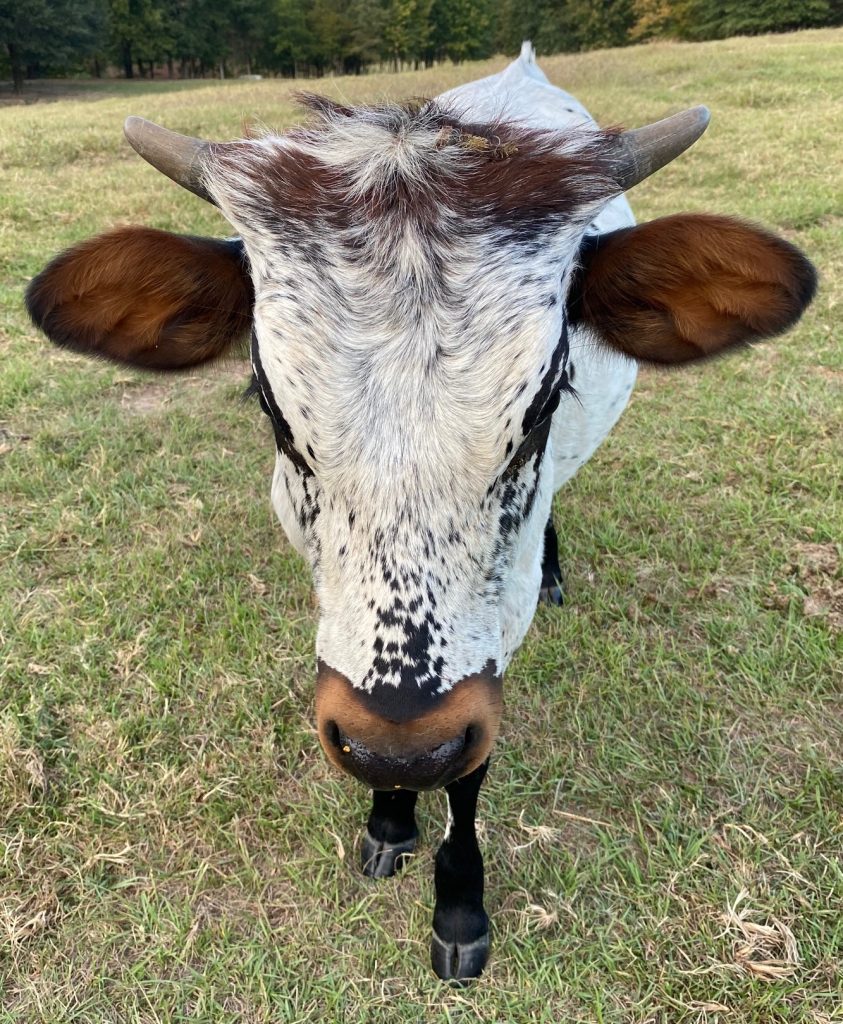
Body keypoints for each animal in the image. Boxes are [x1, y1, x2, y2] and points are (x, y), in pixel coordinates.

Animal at [28, 44, 819, 978]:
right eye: (269, 403)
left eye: (545, 400)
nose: (398, 746)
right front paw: (388, 819)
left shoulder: (489, 639)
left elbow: (468, 776)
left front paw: (460, 906)